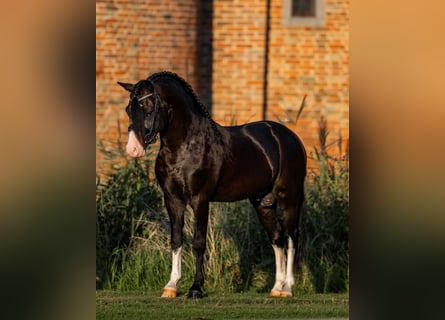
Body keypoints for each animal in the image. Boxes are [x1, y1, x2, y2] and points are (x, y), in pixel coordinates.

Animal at [118, 71, 306, 298]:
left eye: (149, 106)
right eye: (128, 109)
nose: (133, 148)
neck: (185, 145)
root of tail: (289, 137)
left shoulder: (200, 200)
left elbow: (198, 242)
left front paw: (196, 288)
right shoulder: (172, 200)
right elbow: (176, 240)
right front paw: (171, 286)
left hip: (289, 198)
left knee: (291, 237)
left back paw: (287, 288)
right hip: (264, 203)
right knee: (277, 238)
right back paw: (276, 288)